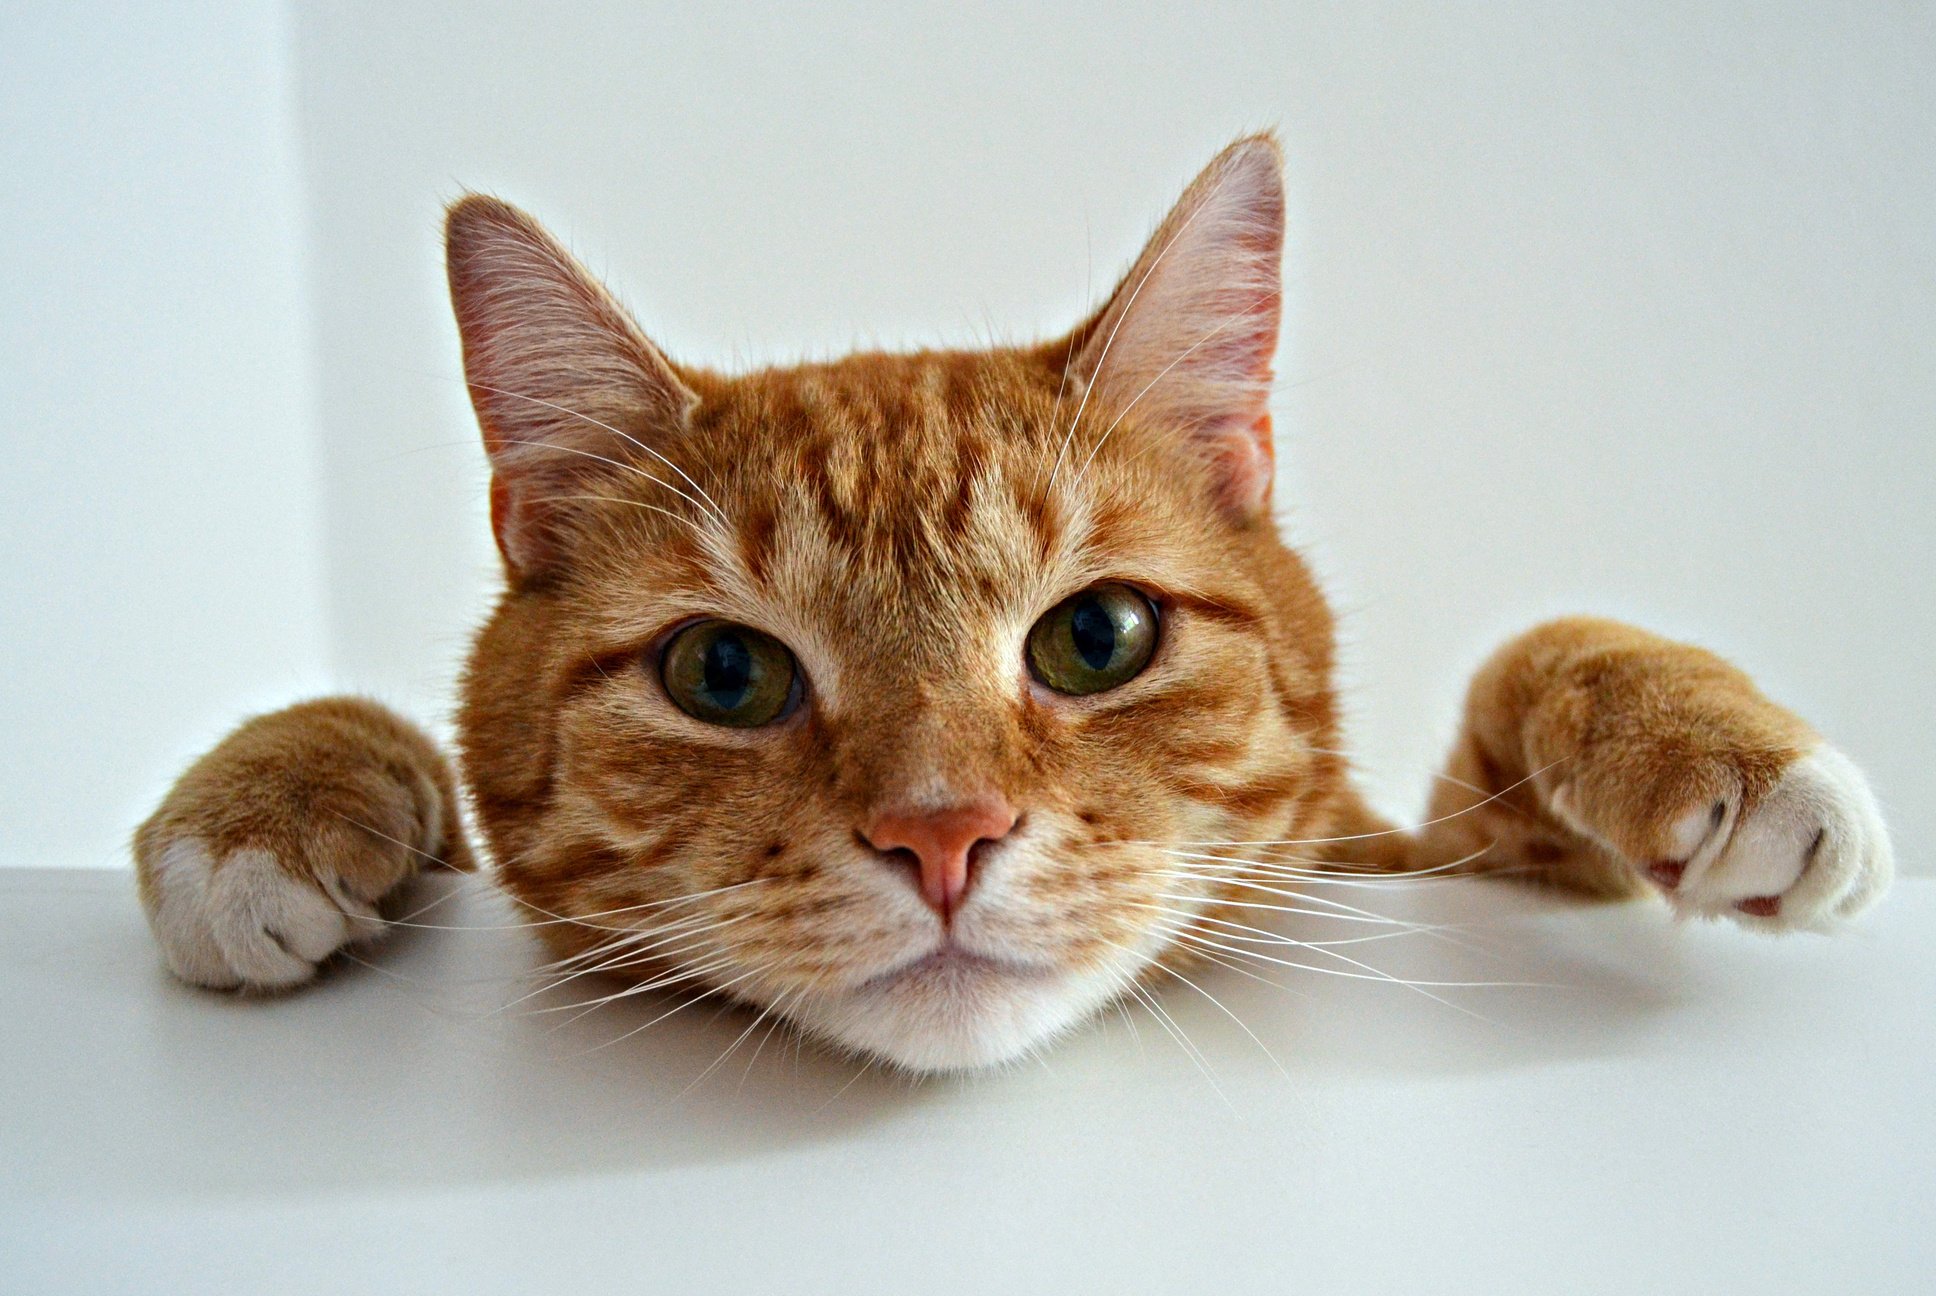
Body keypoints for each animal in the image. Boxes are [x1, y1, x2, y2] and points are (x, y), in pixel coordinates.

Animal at [136, 136, 1889, 1069]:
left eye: (1096, 640)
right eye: (723, 675)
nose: (942, 835)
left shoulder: (1444, 858)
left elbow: (1538, 655)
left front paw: (1723, 739)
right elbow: (368, 724)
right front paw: (262, 800)